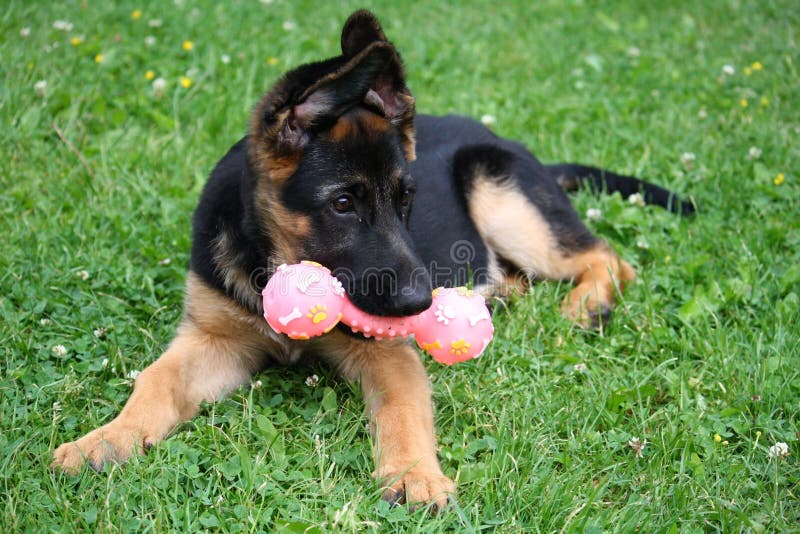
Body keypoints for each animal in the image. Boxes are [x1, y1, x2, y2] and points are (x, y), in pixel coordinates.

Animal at [54, 9, 692, 510]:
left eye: (406, 198)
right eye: (342, 204)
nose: (418, 304)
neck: (276, 261)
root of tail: (507, 140)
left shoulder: (389, 353)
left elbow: (404, 409)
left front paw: (415, 476)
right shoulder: (214, 338)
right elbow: (155, 382)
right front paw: (105, 439)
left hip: (504, 199)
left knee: (607, 256)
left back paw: (587, 305)